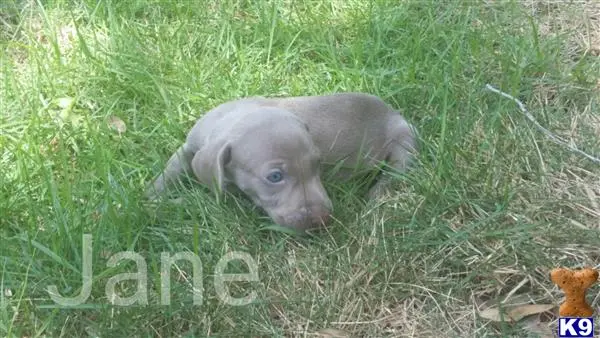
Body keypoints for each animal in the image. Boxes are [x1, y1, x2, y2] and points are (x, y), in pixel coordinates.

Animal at [146, 91, 418, 231]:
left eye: (317, 165)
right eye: (275, 177)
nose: (322, 219)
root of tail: (393, 110)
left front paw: (175, 202)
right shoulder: (189, 147)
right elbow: (170, 169)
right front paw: (152, 195)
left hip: (404, 140)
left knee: (397, 172)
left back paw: (377, 195)